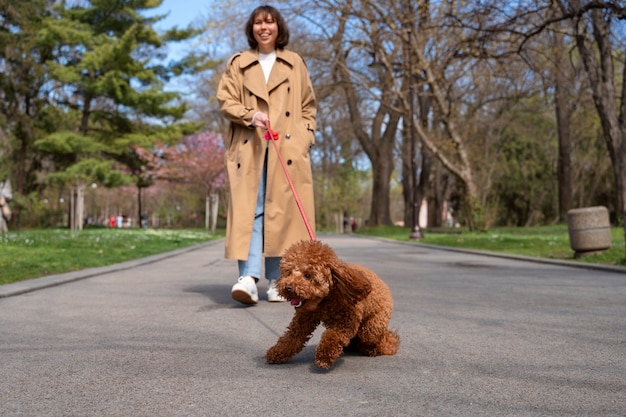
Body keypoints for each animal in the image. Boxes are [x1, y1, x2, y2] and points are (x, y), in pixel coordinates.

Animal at [264, 239, 400, 368]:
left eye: (307, 275)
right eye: (289, 273)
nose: (288, 287)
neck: (324, 301)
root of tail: (383, 283)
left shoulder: (345, 322)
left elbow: (332, 336)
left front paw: (324, 356)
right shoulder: (304, 319)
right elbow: (291, 338)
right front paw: (276, 353)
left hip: (373, 325)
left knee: (375, 337)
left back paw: (386, 346)